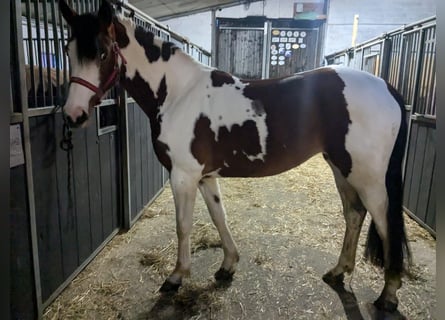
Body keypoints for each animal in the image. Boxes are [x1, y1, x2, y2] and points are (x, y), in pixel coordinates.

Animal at [60, 0, 412, 310]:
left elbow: (183, 226)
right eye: (68, 50)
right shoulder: (205, 177)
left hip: (368, 177)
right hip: (342, 167)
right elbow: (219, 217)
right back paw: (338, 272)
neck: (177, 93)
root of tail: (387, 88)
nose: (74, 115)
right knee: (354, 214)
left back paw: (389, 295)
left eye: (103, 52)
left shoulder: (183, 176)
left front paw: (176, 277)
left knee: (385, 224)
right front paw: (228, 265)